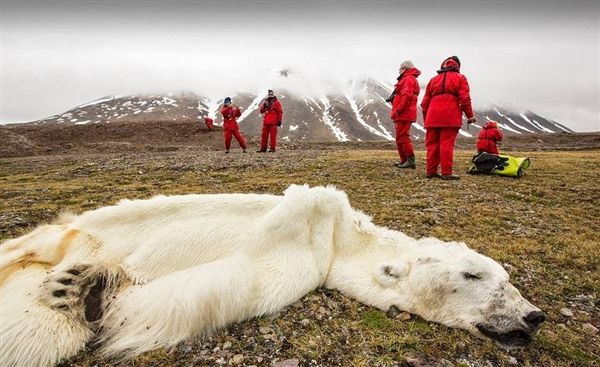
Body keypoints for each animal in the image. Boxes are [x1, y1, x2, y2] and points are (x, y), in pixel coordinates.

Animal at [0, 187, 544, 367]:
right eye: (474, 274)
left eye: (507, 279)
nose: (534, 316)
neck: (341, 238)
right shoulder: (304, 235)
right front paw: (97, 284)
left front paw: (93, 291)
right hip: (64, 234)